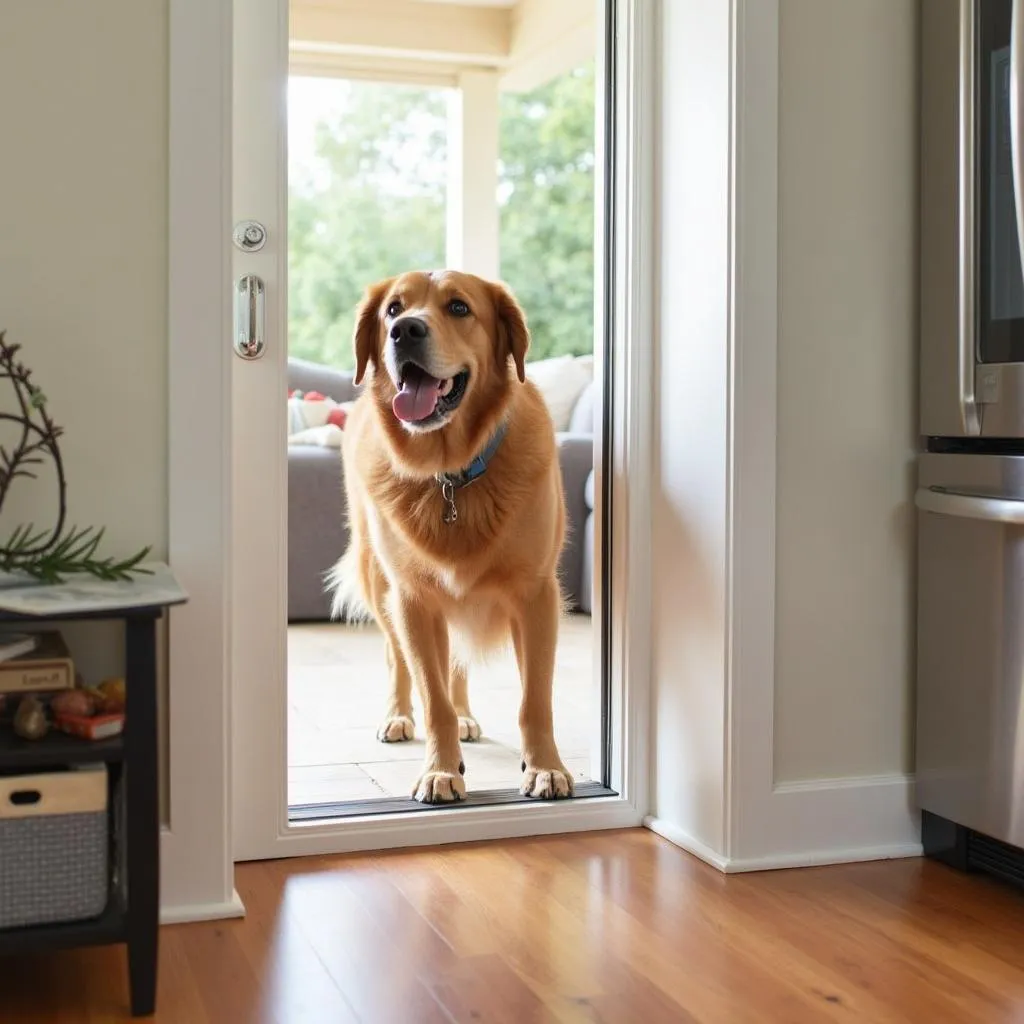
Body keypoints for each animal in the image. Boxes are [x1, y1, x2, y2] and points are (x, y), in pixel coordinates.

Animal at [331, 268, 577, 802]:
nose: (404, 331)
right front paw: (440, 771)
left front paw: (545, 768)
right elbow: (432, 697)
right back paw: (398, 716)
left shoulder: (536, 596)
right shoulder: (413, 601)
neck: (451, 474)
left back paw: (466, 716)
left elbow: (535, 701)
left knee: (456, 667)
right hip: (379, 583)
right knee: (398, 659)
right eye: (394, 309)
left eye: (460, 307)